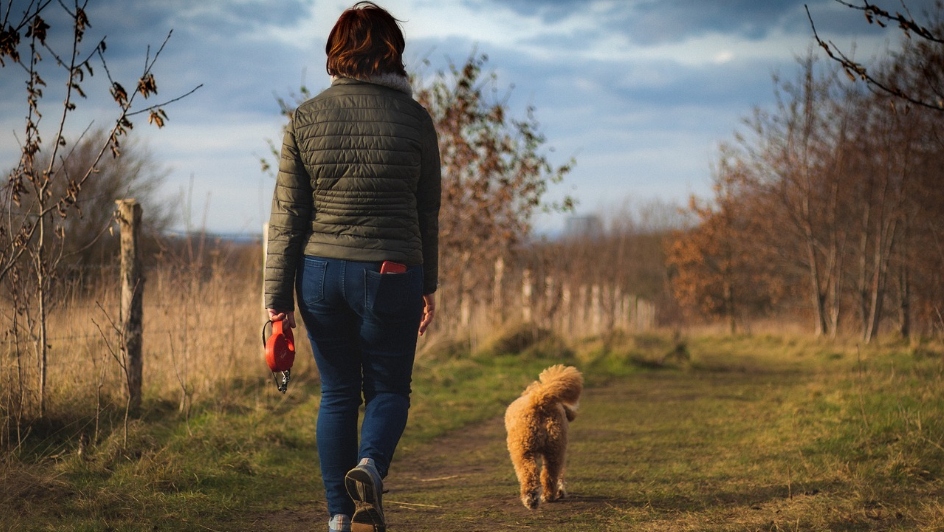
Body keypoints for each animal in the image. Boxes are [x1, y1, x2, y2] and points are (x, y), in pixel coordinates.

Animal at [506, 364, 580, 510]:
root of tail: (539, 400)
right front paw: (561, 491)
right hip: (555, 448)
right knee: (550, 474)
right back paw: (547, 496)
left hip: (523, 450)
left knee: (529, 474)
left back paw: (532, 498)